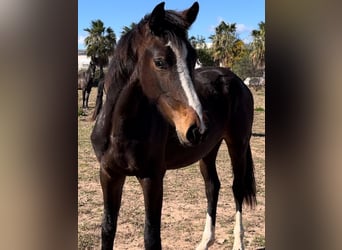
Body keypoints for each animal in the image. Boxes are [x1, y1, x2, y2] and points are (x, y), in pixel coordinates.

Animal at [89, 1, 255, 248]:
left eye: (192, 58)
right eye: (160, 62)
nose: (196, 128)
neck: (120, 132)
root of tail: (237, 81)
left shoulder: (152, 178)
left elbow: (151, 236)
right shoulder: (109, 175)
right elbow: (108, 229)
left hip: (238, 144)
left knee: (237, 188)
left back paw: (238, 243)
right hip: (208, 150)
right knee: (212, 186)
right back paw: (205, 242)